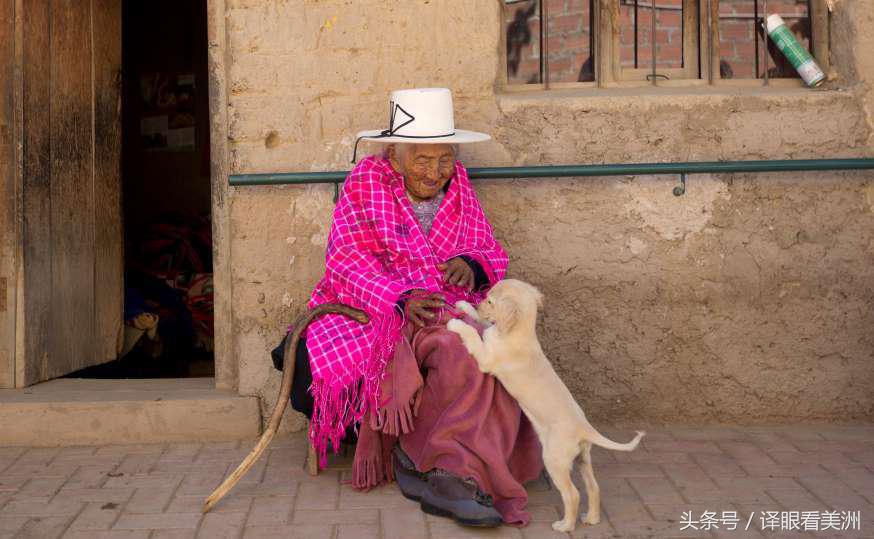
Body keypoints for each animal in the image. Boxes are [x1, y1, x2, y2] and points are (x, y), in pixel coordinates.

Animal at [446, 280, 644, 532]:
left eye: (489, 300)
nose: (479, 304)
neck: (516, 333)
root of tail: (585, 427)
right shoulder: (491, 333)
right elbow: (482, 325)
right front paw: (465, 306)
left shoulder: (486, 360)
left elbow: (473, 333)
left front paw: (456, 323)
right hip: (582, 459)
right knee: (593, 487)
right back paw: (591, 518)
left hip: (554, 459)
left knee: (573, 494)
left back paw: (565, 525)